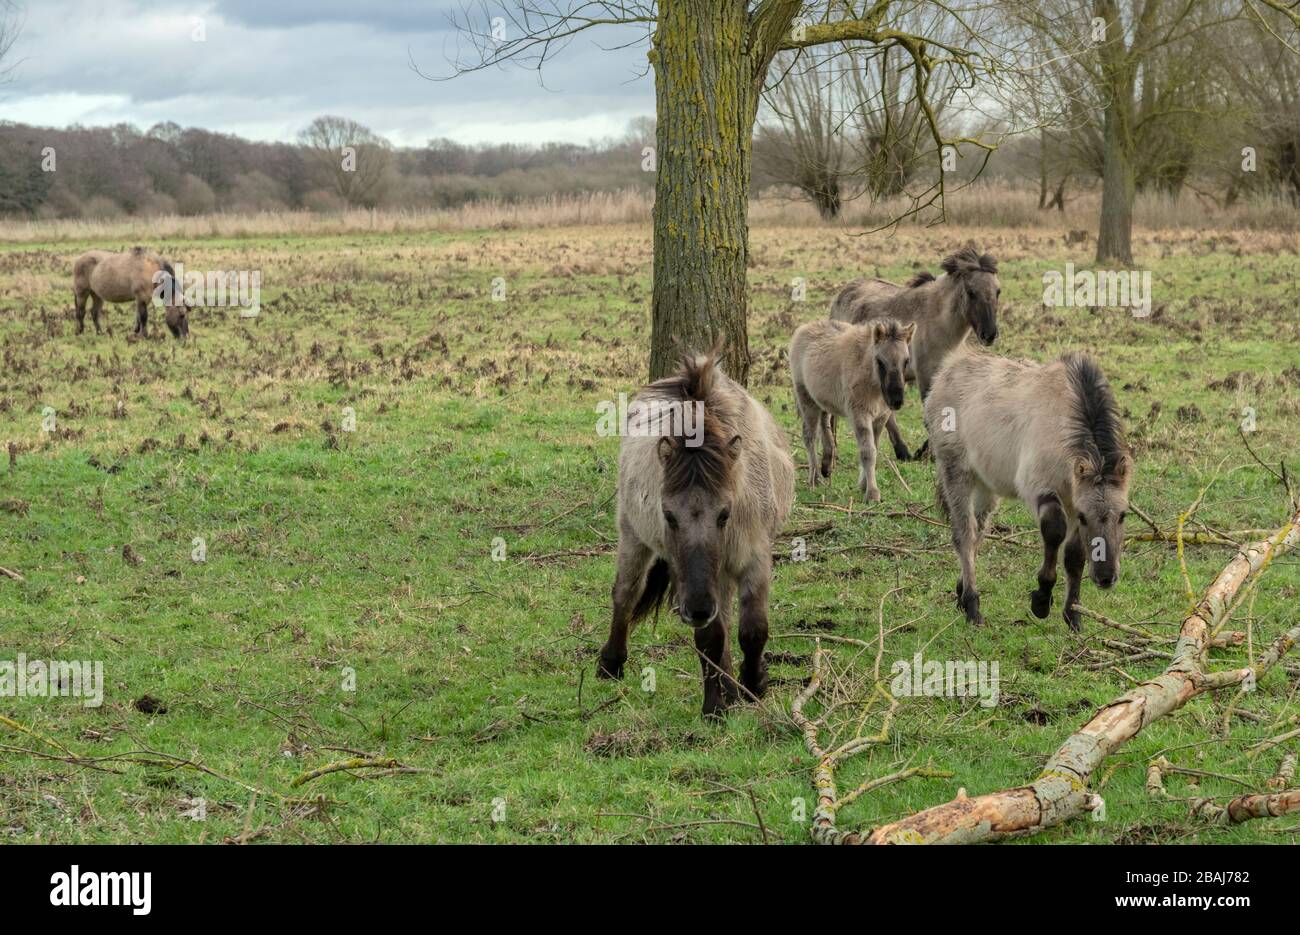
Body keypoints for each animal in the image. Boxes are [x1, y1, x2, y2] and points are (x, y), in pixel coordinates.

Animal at [595, 345, 795, 718]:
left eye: (725, 513)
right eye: (669, 516)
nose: (698, 609)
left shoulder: (754, 557)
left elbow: (753, 630)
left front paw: (753, 685)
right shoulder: (696, 580)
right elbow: (710, 639)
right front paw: (715, 706)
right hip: (634, 537)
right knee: (626, 594)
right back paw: (610, 664)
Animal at [925, 348, 1133, 631]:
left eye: (1123, 515)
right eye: (1083, 517)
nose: (1105, 577)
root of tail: (949, 368)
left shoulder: (1073, 497)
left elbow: (1074, 555)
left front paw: (1073, 617)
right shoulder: (1040, 488)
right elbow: (1054, 531)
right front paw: (1042, 600)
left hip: (986, 486)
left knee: (978, 531)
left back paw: (961, 592)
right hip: (955, 470)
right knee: (964, 535)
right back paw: (972, 606)